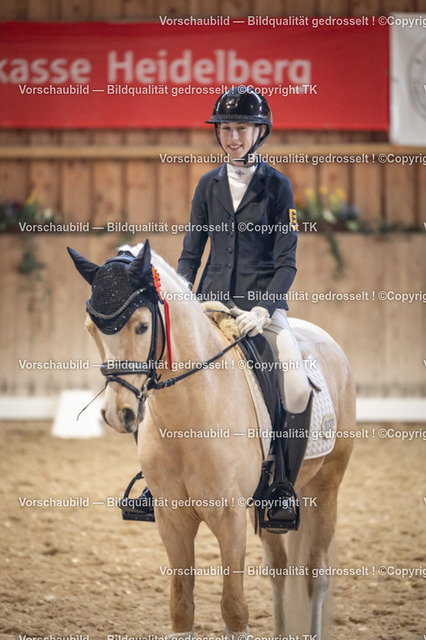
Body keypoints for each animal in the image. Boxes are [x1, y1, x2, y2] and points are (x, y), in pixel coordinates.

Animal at [69, 240, 355, 639]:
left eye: (142, 326)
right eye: (92, 329)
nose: (117, 413)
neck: (190, 414)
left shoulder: (229, 517)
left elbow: (234, 609)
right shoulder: (172, 518)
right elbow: (181, 608)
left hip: (326, 487)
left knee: (316, 576)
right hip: (265, 505)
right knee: (279, 570)